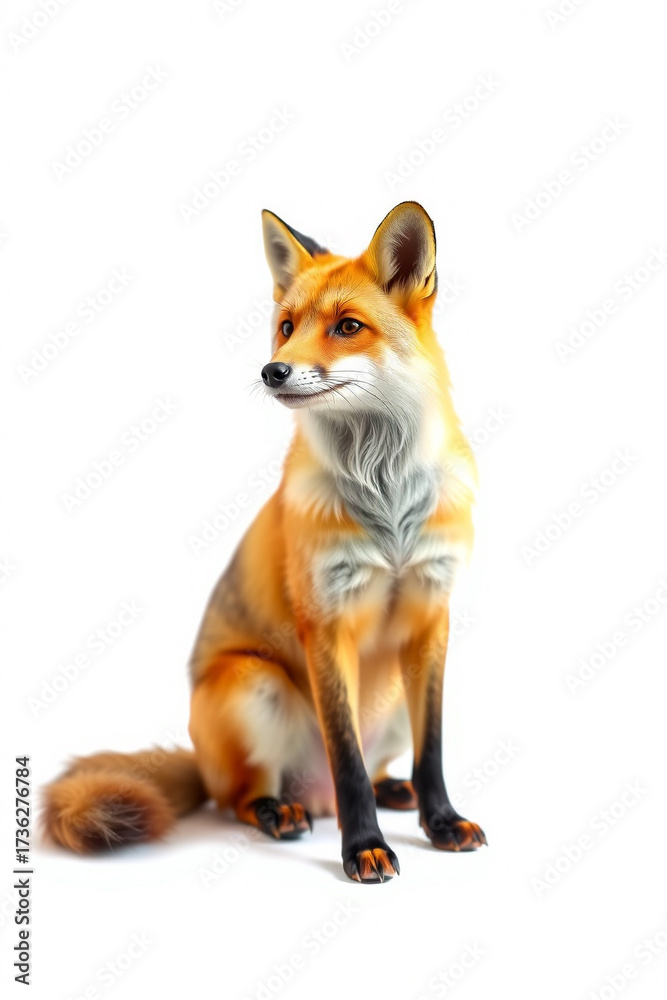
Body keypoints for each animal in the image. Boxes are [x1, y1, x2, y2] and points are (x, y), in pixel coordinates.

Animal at [43, 202, 487, 882]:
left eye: (347, 327)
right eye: (285, 327)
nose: (271, 370)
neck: (387, 507)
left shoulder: (431, 612)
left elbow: (431, 749)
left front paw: (439, 823)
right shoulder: (325, 620)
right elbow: (346, 758)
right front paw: (364, 847)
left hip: (385, 705)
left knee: (380, 767)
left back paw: (395, 793)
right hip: (255, 683)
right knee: (243, 797)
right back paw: (280, 812)